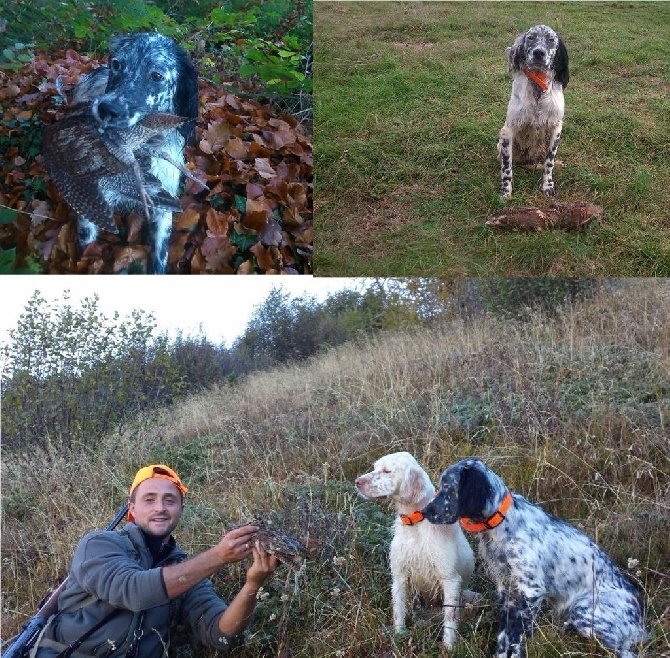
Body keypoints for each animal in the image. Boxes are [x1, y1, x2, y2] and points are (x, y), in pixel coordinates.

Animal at [356, 452, 478, 644]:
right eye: (375, 468)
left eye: (387, 471)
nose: (357, 482)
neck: (416, 523)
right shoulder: (399, 576)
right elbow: (399, 611)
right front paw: (399, 636)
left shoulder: (450, 580)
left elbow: (449, 621)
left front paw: (449, 646)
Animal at [422, 456, 648, 656]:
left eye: (448, 487)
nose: (424, 511)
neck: (502, 524)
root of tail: (640, 622)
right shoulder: (506, 590)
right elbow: (503, 637)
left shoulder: (531, 591)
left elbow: (517, 638)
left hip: (584, 611)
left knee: (626, 651)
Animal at [498, 25, 572, 197]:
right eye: (530, 37)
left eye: (551, 39)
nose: (539, 53)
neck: (538, 88)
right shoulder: (507, 131)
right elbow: (507, 167)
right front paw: (506, 192)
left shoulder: (555, 128)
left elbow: (549, 162)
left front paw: (548, 186)